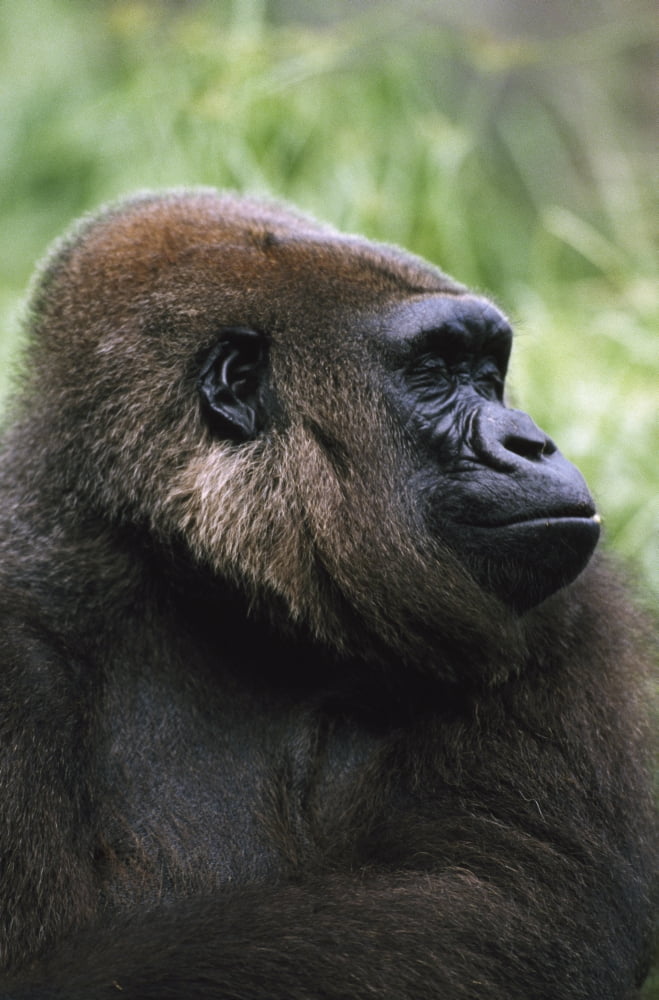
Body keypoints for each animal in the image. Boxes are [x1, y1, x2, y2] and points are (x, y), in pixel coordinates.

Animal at [0, 189, 655, 999]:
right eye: (434, 371)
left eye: (487, 372)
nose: (532, 443)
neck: (200, 588)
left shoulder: (568, 611)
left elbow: (506, 900)